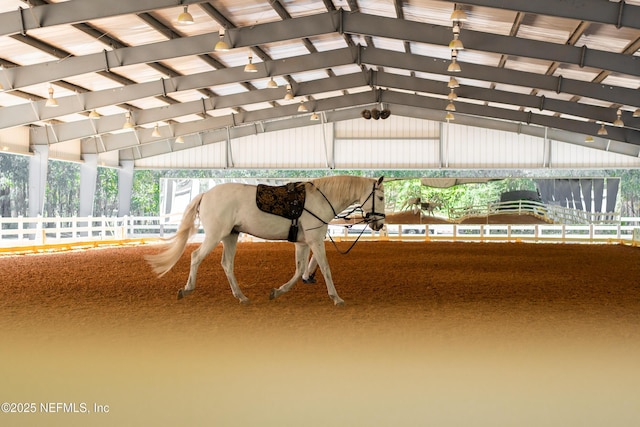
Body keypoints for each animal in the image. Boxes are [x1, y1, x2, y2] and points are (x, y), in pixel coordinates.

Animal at [146, 176, 384, 306]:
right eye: (381, 197)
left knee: (227, 264)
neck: (319, 200)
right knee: (196, 257)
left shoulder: (303, 243)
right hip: (215, 235)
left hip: (230, 236)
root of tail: (206, 194)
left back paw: (241, 297)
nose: (380, 224)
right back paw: (187, 289)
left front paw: (277, 292)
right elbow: (325, 268)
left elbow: (299, 270)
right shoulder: (315, 240)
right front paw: (337, 298)